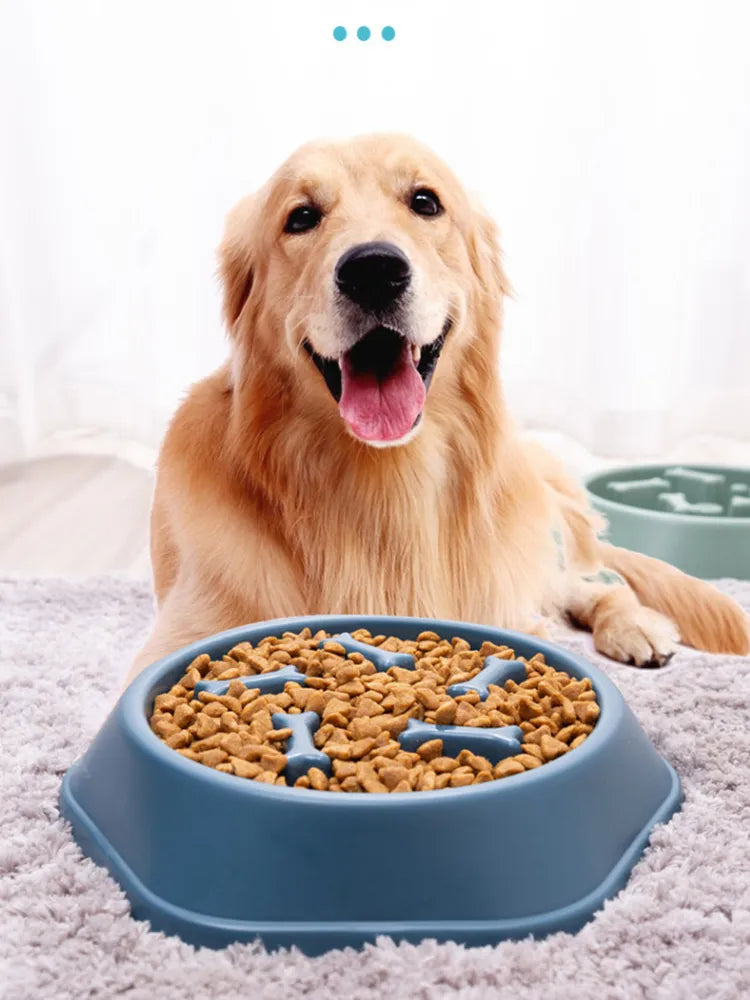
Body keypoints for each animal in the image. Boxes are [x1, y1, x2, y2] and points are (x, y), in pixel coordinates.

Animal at [128, 131, 750, 680]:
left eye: (425, 201)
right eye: (301, 217)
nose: (374, 269)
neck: (386, 478)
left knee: (591, 585)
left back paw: (635, 626)